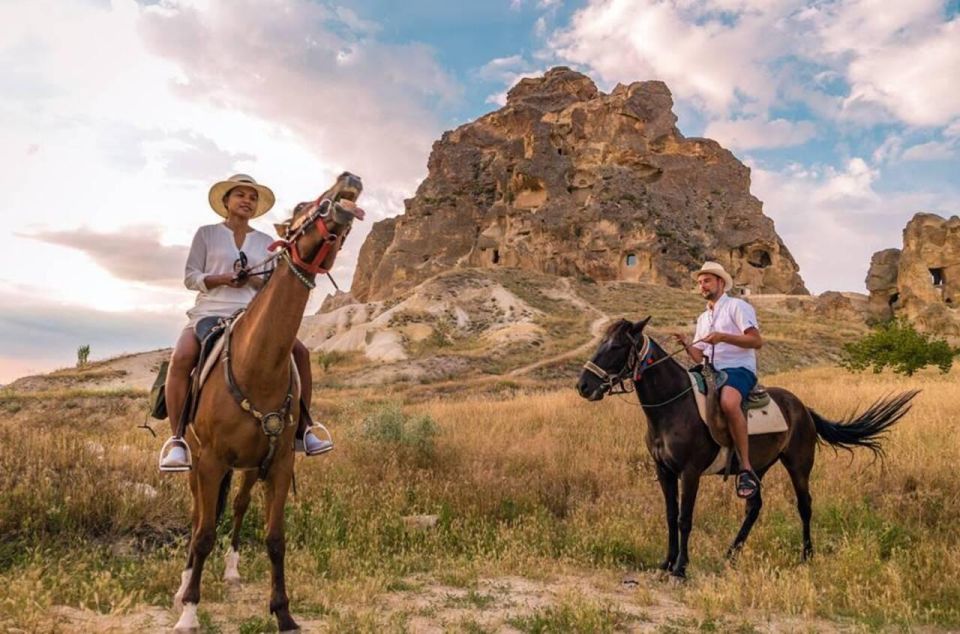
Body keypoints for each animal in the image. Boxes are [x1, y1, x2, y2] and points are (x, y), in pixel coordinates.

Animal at [171, 173, 362, 632]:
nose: (349, 180)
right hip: (198, 461)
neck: (256, 365)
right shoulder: (211, 461)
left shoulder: (279, 464)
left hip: (247, 466)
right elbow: (204, 533)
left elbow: (275, 539)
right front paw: (189, 611)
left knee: (238, 506)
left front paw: (284, 612)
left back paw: (232, 571)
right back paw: (183, 585)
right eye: (300, 207)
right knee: (198, 515)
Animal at [572, 316, 920, 576]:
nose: (584, 386)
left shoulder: (690, 472)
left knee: (805, 506)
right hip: (755, 468)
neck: (673, 407)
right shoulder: (664, 471)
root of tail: (803, 408)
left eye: (617, 346)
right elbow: (670, 516)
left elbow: (685, 518)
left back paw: (806, 556)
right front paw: (666, 562)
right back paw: (732, 552)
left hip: (799, 465)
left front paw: (681, 568)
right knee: (754, 507)